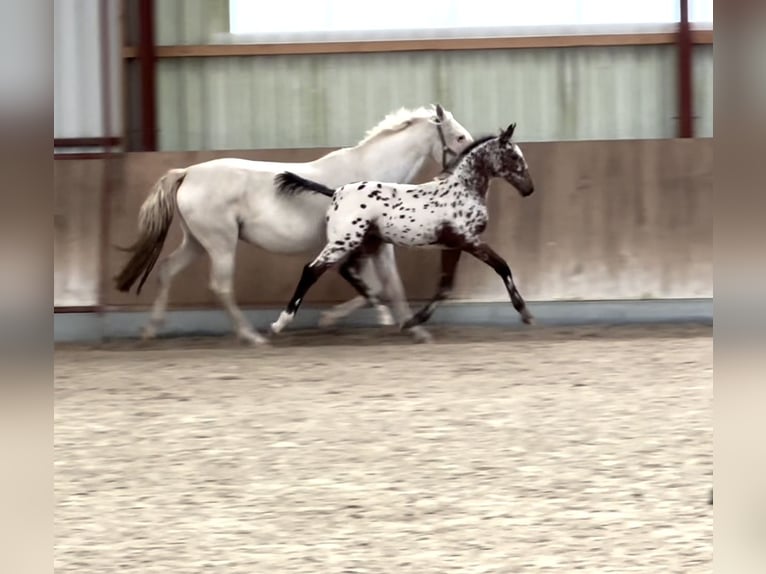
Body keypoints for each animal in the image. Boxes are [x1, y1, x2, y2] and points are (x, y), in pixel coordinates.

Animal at [114, 104, 474, 346]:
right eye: (458, 136)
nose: (466, 170)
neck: (373, 177)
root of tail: (187, 172)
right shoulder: (375, 245)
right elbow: (388, 286)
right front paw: (415, 329)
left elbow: (377, 286)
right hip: (220, 243)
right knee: (220, 286)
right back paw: (252, 336)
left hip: (197, 242)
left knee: (167, 271)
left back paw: (150, 330)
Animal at [272, 124, 536, 336]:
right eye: (514, 156)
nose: (529, 189)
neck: (463, 190)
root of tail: (336, 192)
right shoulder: (469, 241)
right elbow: (502, 266)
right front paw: (525, 313)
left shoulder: (453, 246)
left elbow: (445, 287)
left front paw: (414, 321)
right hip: (343, 241)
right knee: (312, 271)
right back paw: (280, 323)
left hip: (365, 242)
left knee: (347, 271)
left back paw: (382, 313)